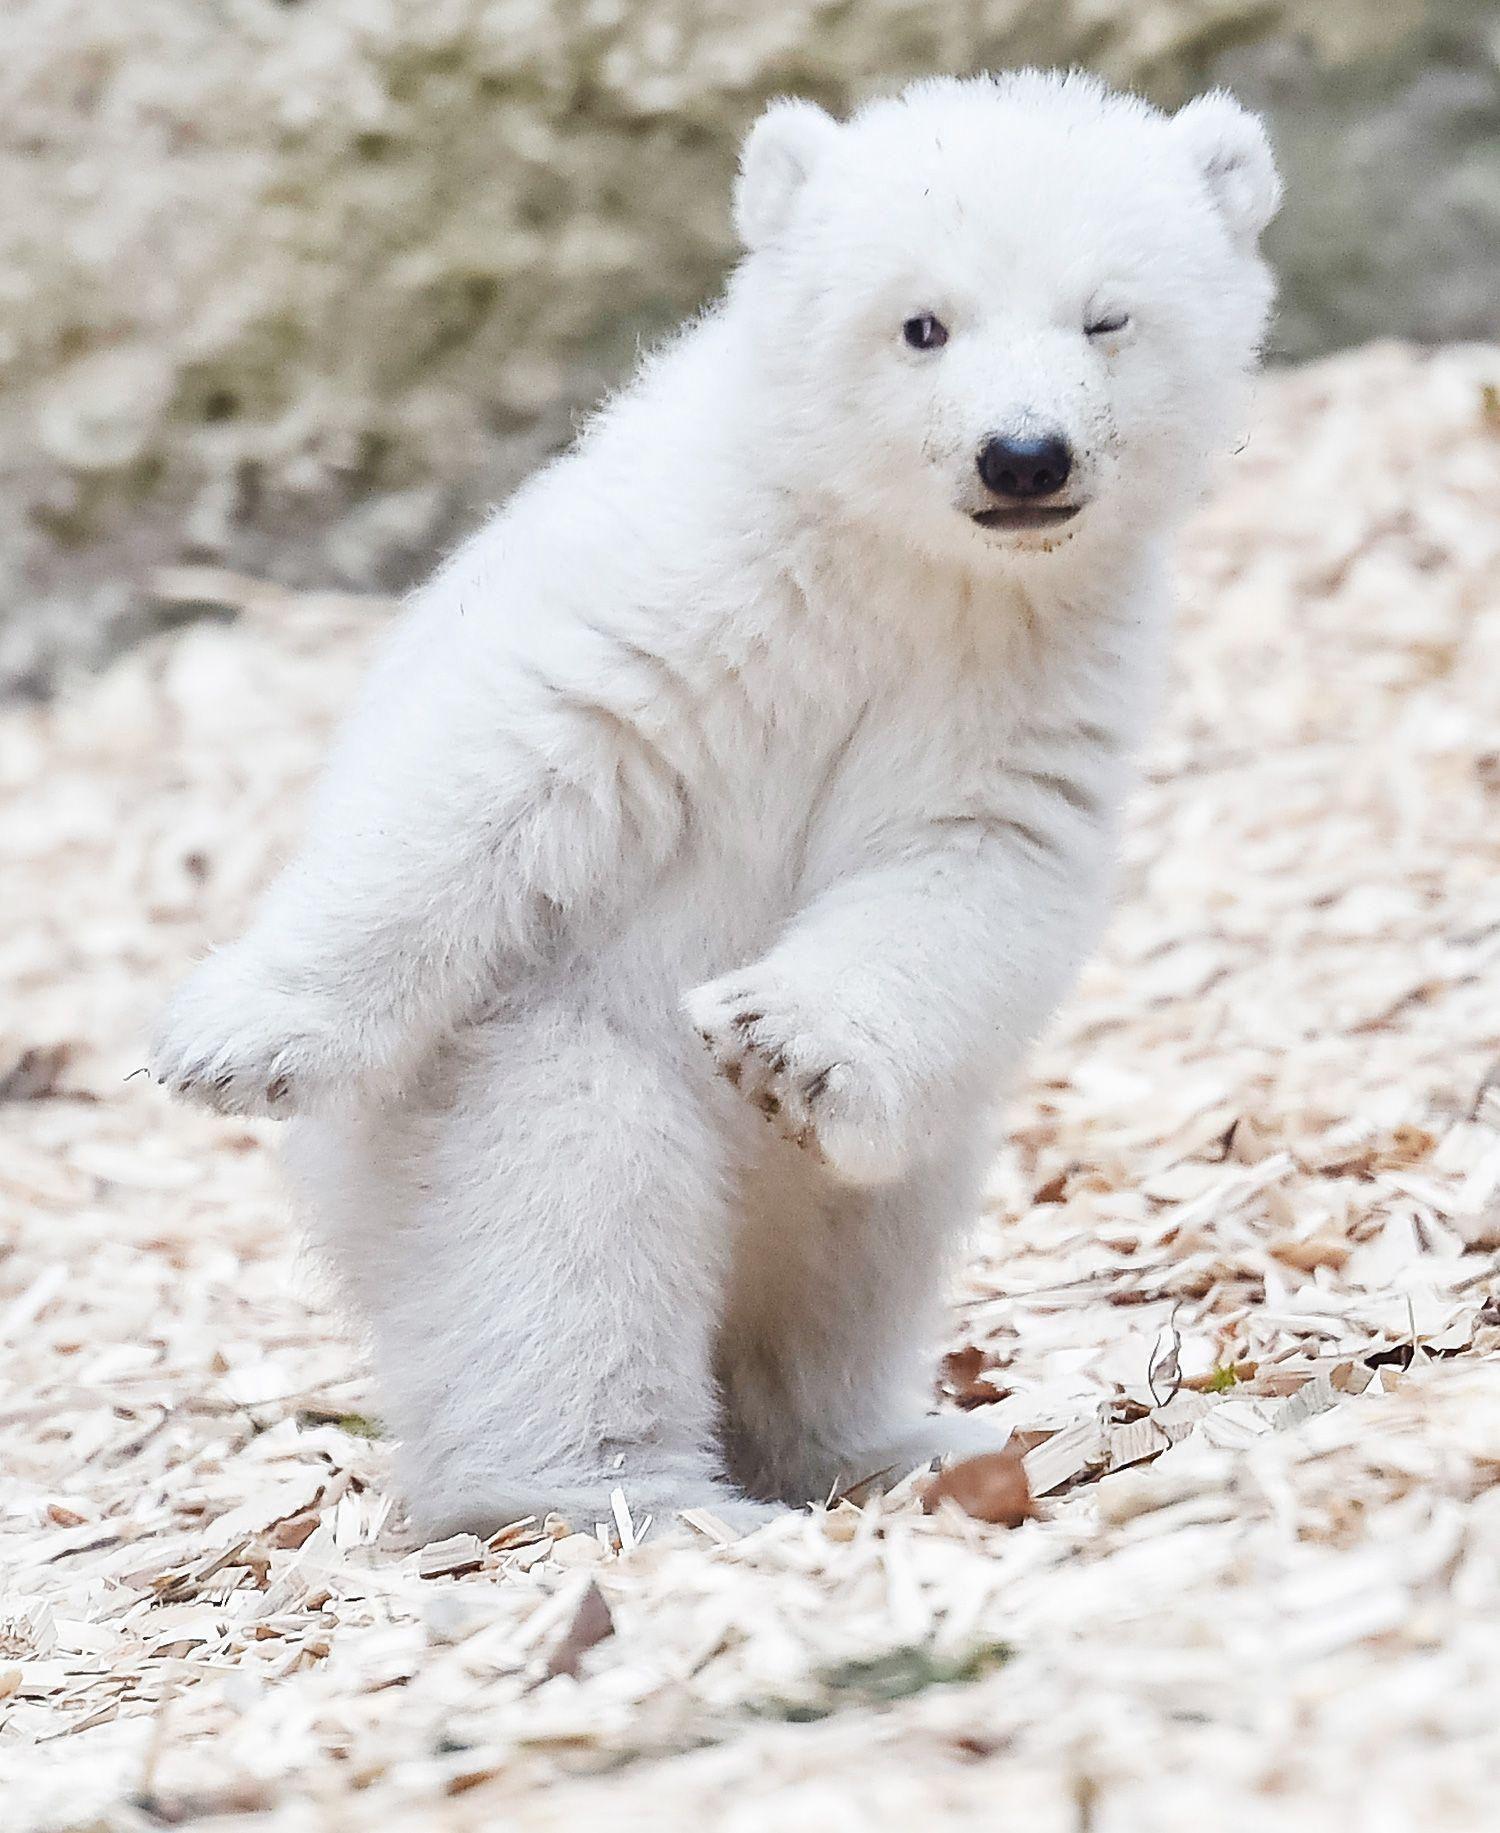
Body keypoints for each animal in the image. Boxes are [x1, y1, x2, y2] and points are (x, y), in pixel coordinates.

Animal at [152, 71, 1280, 1536]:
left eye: (1109, 315)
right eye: (921, 322)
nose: (1024, 457)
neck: (893, 564)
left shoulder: (1027, 665)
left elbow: (967, 857)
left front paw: (782, 1042)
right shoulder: (685, 592)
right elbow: (495, 765)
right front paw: (239, 1036)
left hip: (894, 1165)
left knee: (855, 1252)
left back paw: (874, 1439)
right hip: (504, 1064)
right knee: (570, 1210)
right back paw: (613, 1484)